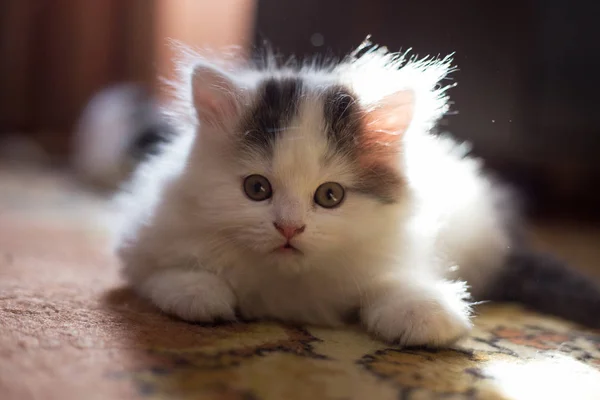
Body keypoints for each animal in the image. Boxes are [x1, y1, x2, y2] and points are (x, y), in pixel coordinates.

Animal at [111, 41, 600, 346]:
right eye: (257, 188)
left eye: (330, 196)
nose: (289, 227)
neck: (291, 285)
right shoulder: (144, 239)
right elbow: (165, 273)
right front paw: (199, 291)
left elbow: (391, 283)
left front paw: (424, 314)